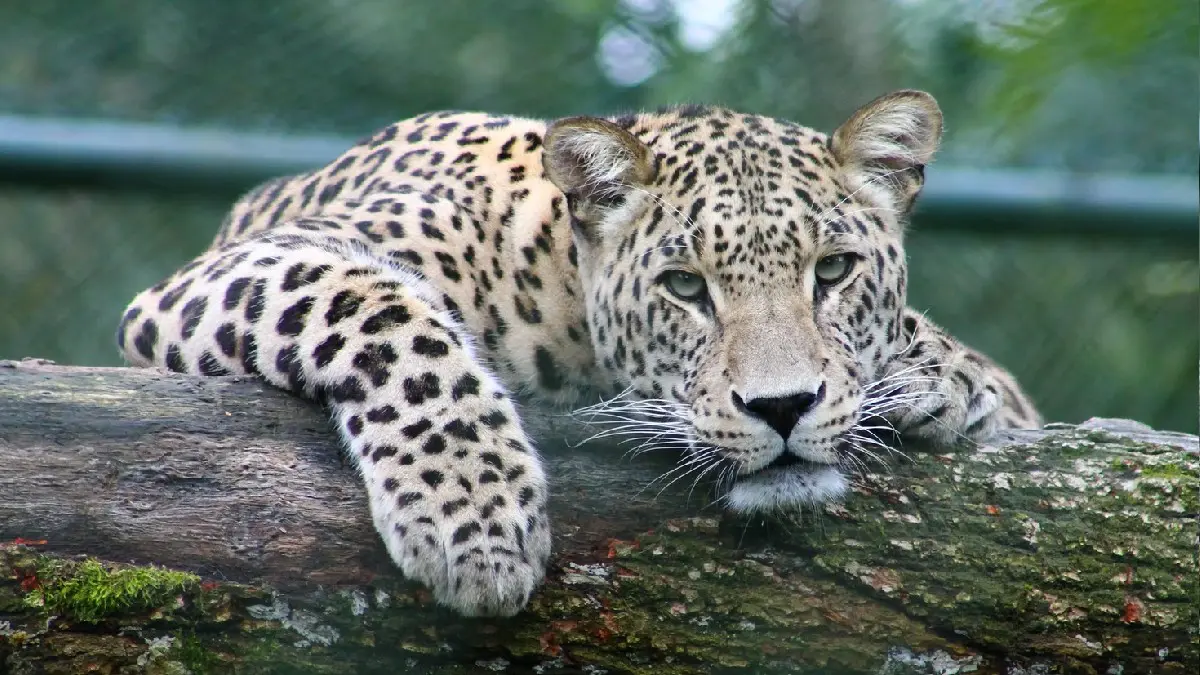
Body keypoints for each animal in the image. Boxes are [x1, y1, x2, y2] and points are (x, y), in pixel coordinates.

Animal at [116, 89, 1042, 618]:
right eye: (684, 286)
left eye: (836, 271)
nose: (782, 408)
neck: (556, 280)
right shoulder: (231, 272)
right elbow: (385, 313)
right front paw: (474, 518)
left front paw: (946, 377)